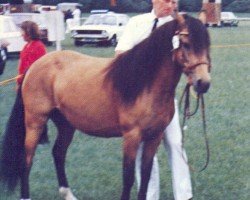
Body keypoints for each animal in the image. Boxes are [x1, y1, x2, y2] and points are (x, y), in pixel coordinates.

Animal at [0, 14, 211, 200]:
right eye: (186, 44)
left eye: (207, 45)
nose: (203, 83)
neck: (145, 84)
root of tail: (34, 66)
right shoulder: (132, 137)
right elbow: (128, 178)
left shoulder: (154, 137)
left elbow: (145, 175)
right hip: (35, 122)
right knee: (26, 160)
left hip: (66, 125)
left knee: (58, 153)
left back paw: (68, 194)